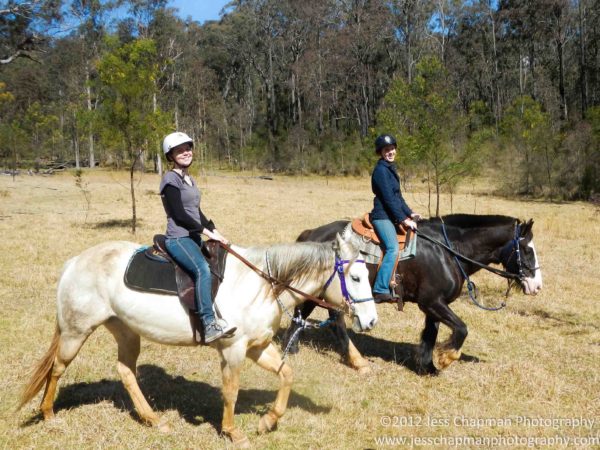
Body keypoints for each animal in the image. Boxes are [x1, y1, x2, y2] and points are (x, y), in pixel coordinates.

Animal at [18, 234, 378, 444]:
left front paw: (267, 421)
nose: (371, 320)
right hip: (76, 331)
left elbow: (287, 375)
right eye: (356, 277)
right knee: (58, 368)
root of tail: (75, 262)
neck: (262, 283)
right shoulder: (233, 350)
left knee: (125, 371)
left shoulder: (258, 347)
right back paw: (49, 415)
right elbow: (231, 392)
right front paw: (232, 432)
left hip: (125, 330)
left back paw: (154, 420)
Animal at [284, 214, 540, 372]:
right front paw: (445, 359)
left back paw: (292, 346)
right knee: (331, 320)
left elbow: (430, 334)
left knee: (308, 312)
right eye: (527, 249)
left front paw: (427, 366)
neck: (448, 251)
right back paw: (356, 361)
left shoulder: (433, 305)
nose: (536, 285)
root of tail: (312, 233)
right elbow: (461, 329)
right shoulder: (432, 302)